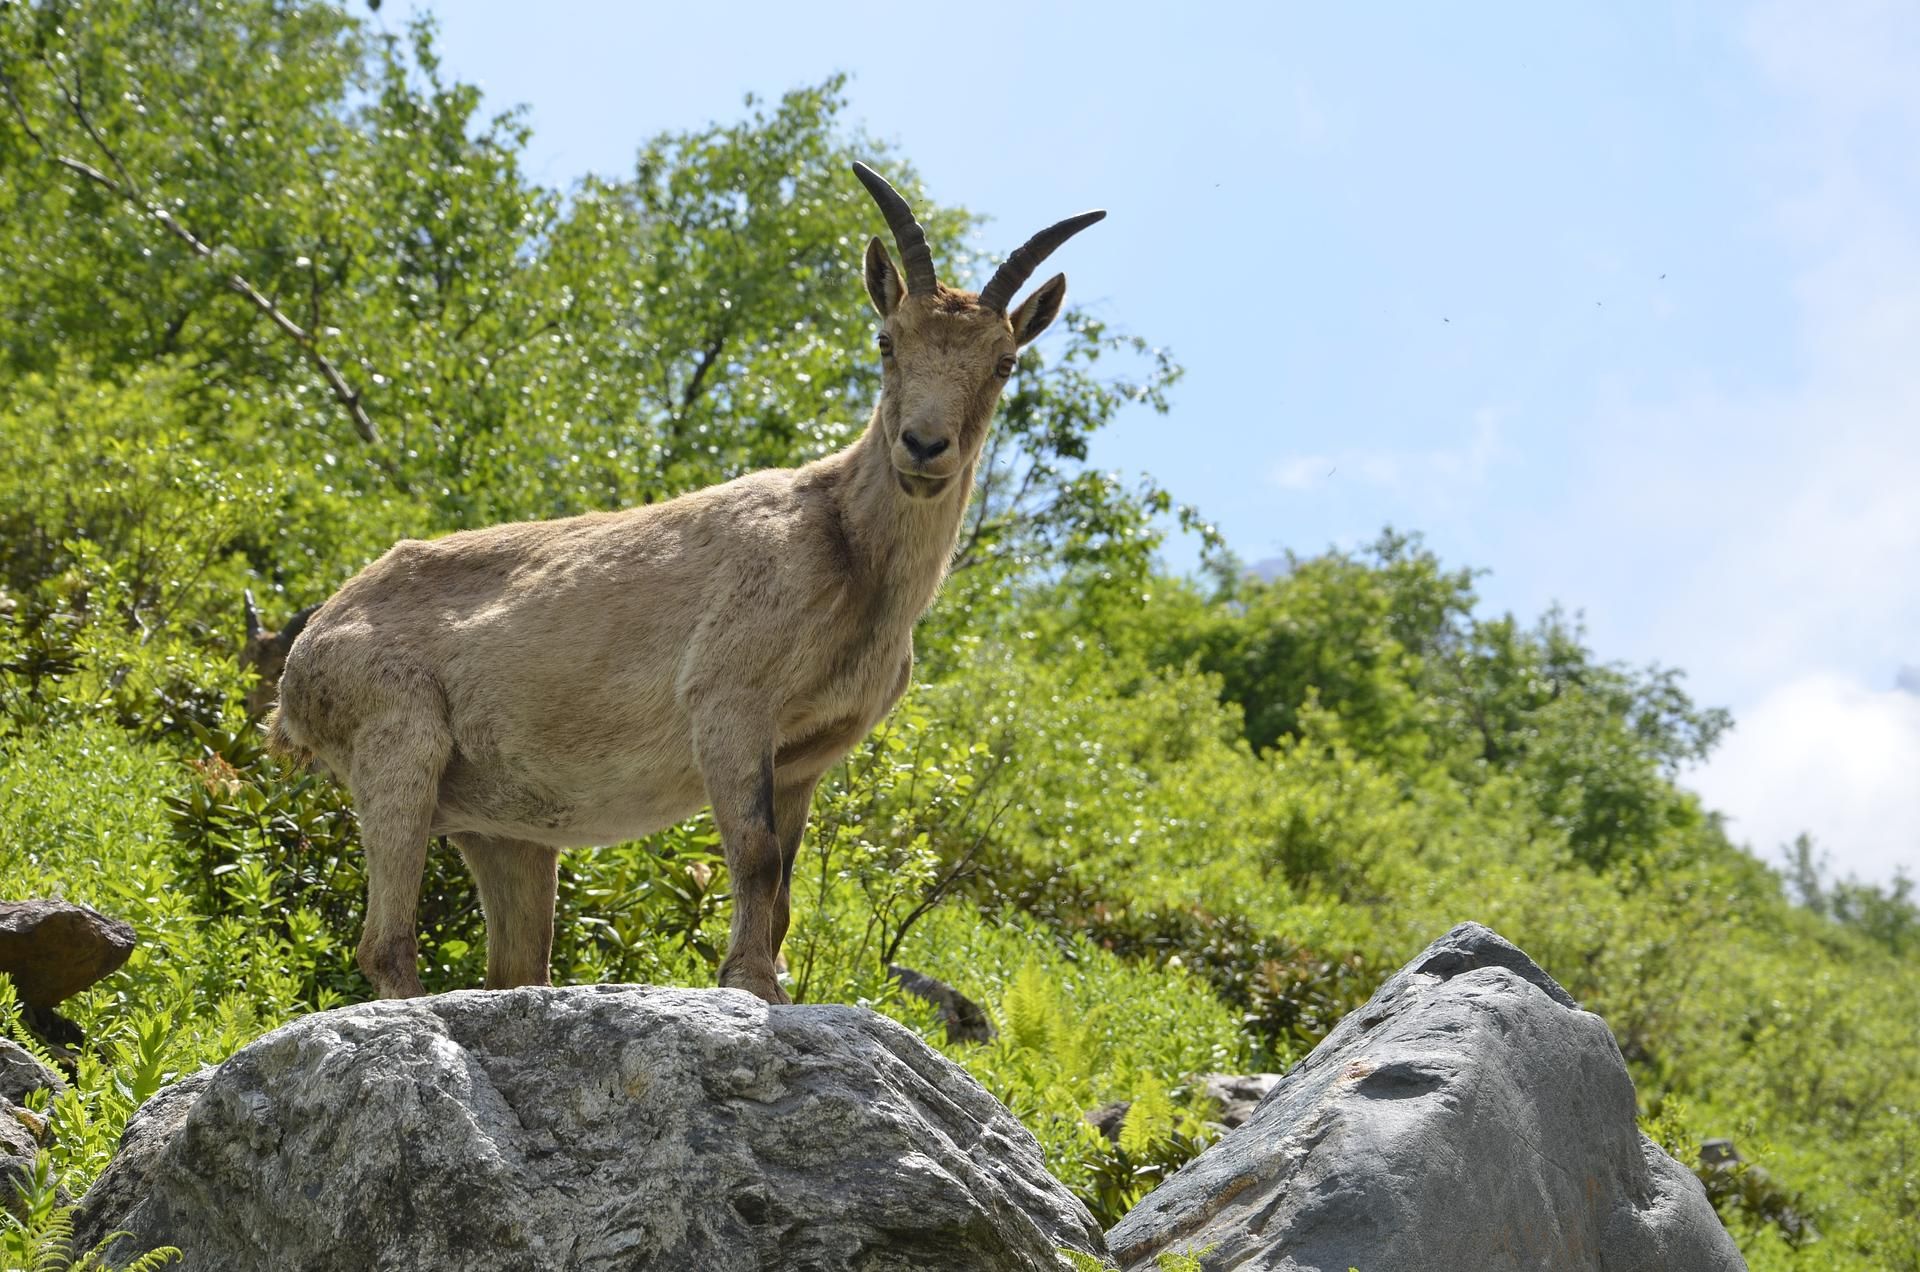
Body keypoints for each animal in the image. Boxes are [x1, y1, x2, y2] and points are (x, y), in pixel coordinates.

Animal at [270, 167, 1113, 1006]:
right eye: (887, 340)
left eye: (1003, 362)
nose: (925, 447)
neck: (849, 549)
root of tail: (304, 654)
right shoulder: (730, 699)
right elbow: (756, 853)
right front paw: (750, 985)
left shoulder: (805, 754)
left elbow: (785, 886)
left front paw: (770, 982)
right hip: (396, 740)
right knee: (385, 942)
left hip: (501, 830)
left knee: (514, 964)